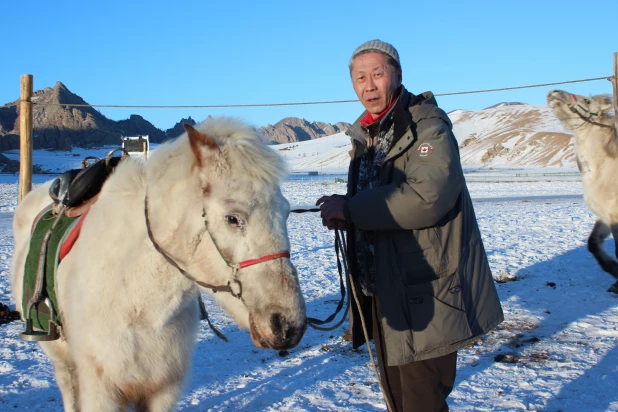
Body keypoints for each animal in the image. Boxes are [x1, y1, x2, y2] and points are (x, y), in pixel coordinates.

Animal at [8, 117, 306, 410]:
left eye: (286, 213)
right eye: (232, 218)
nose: (288, 326)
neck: (139, 301)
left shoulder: (162, 388)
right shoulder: (101, 389)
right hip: (63, 360)